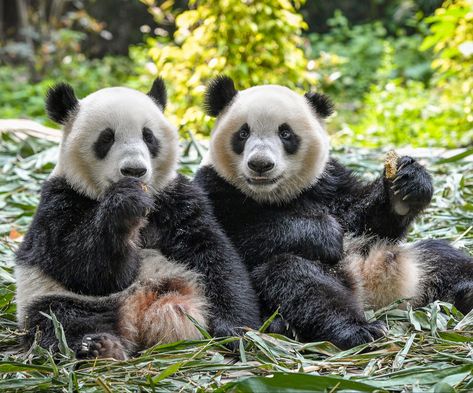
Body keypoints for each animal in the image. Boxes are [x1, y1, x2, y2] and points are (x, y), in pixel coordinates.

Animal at [15, 78, 258, 360]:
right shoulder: (60, 200)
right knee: (60, 320)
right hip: (49, 295)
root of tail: (137, 313)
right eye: (107, 138)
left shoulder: (176, 199)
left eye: (148, 136)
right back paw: (99, 345)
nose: (134, 170)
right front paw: (125, 204)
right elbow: (84, 267)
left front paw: (236, 331)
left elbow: (214, 256)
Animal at [192, 75, 472, 348]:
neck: (272, 196)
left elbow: (365, 221)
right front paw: (325, 235)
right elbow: (237, 237)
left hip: (397, 257)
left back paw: (466, 290)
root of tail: (371, 290)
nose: (260, 164)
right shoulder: (215, 187)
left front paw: (406, 186)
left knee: (443, 257)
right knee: (300, 282)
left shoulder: (327, 182)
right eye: (243, 133)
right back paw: (357, 330)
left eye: (285, 133)